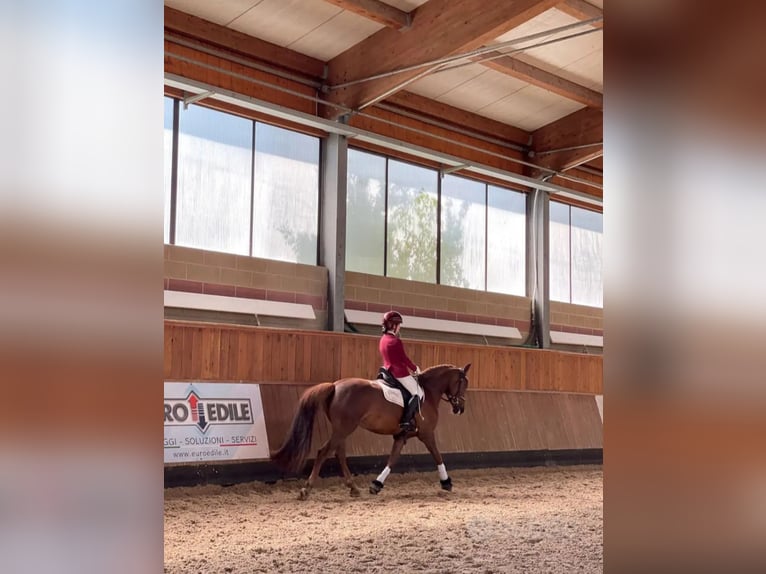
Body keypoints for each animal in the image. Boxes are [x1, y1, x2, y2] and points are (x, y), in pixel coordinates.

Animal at [270, 364, 474, 500]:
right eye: (463, 383)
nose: (460, 408)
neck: (428, 392)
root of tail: (335, 386)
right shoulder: (427, 433)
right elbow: (437, 455)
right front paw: (446, 482)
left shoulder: (401, 436)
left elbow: (392, 459)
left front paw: (376, 485)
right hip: (344, 428)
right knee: (323, 452)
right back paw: (307, 489)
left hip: (342, 429)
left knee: (339, 453)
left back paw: (353, 488)